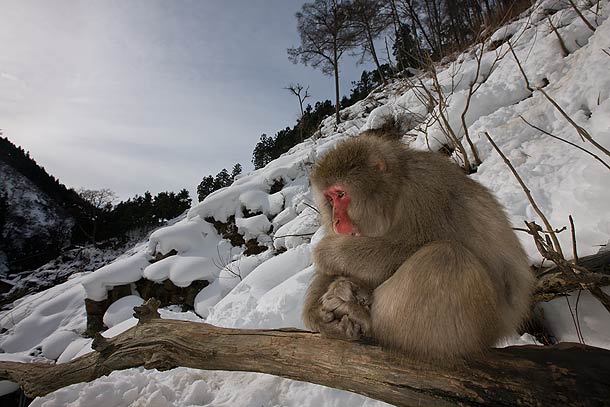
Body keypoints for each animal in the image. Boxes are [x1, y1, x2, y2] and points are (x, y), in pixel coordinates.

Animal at [304, 131, 532, 364]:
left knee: (445, 256)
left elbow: (408, 248)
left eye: (341, 194)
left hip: (481, 327)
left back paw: (367, 320)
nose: (335, 221)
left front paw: (327, 253)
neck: (394, 194)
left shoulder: (427, 190)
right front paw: (318, 317)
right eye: (330, 199)